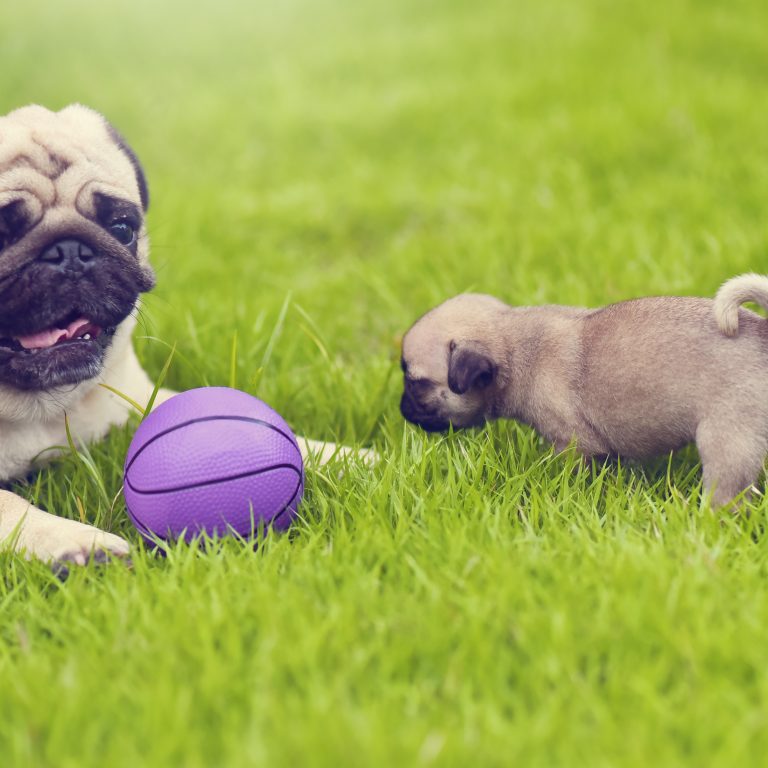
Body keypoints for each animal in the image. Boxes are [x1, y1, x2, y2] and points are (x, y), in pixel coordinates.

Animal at [0, 103, 356, 564]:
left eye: (122, 228)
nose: (70, 252)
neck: (38, 409)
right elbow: (8, 504)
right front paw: (73, 543)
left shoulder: (129, 400)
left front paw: (348, 456)